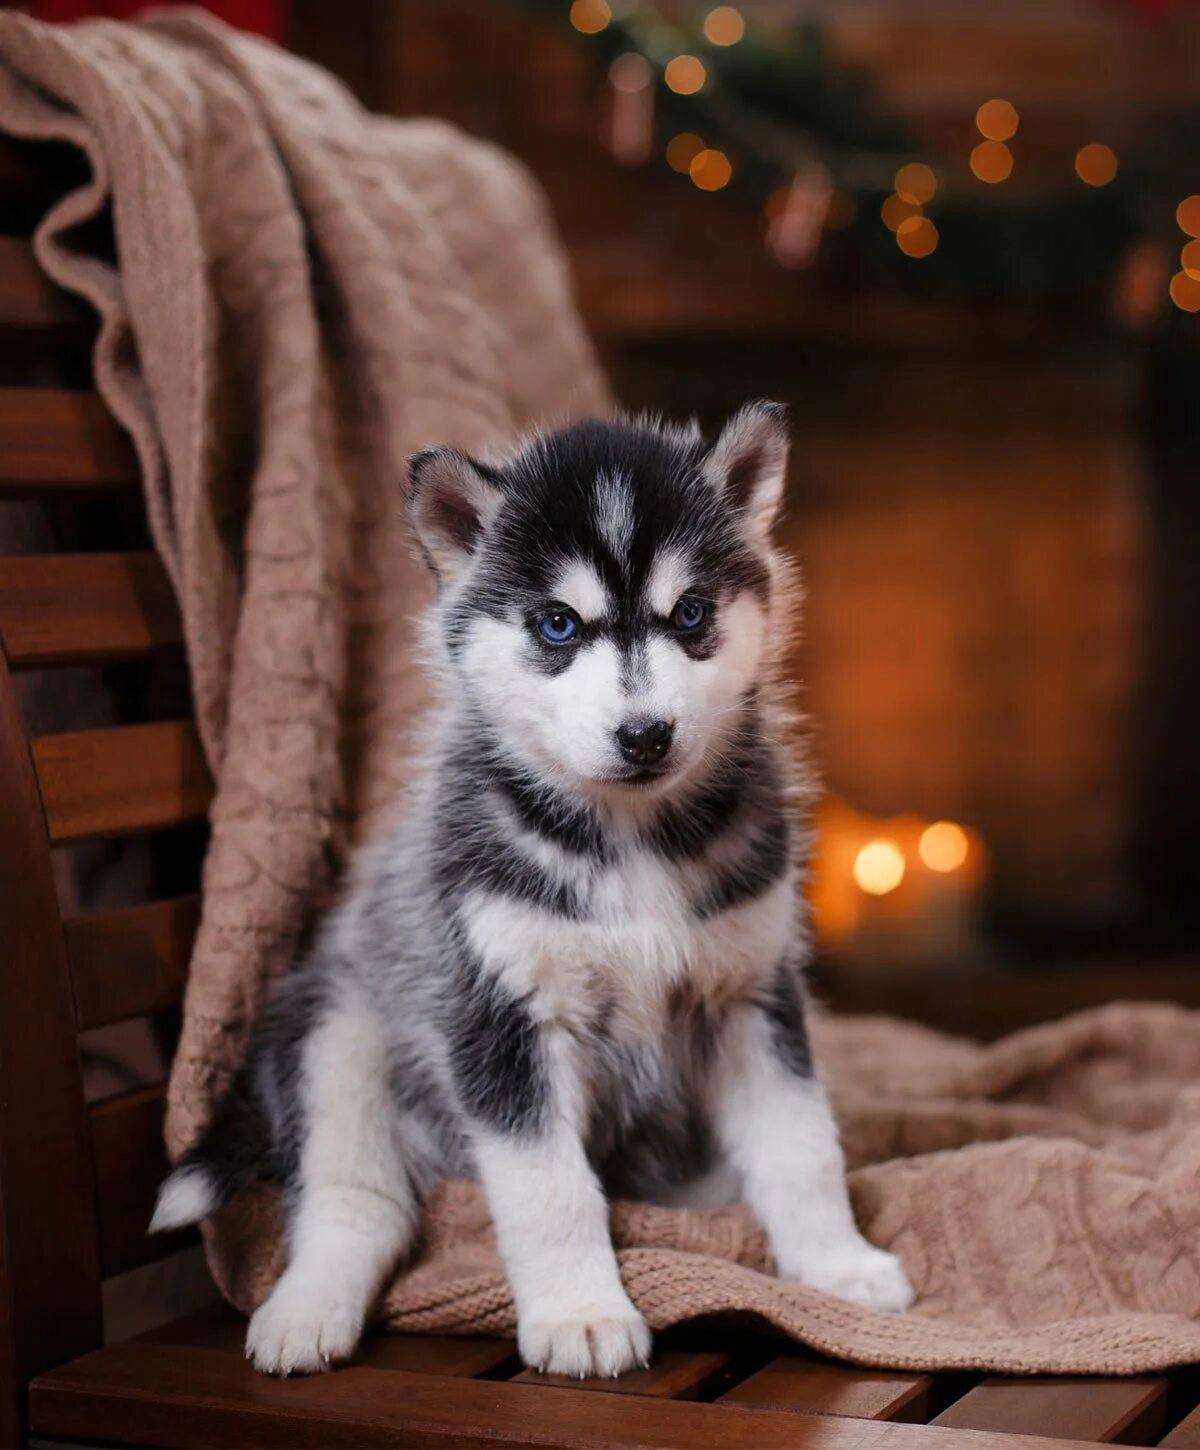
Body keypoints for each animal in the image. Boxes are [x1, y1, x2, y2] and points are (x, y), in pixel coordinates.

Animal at [154, 403, 915, 1374]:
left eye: (692, 614)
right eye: (558, 625)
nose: (645, 735)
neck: (628, 839)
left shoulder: (753, 993)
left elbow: (799, 1144)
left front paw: (837, 1263)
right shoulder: (499, 1015)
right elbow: (547, 1188)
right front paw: (581, 1314)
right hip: (342, 1035)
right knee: (358, 1199)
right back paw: (306, 1308)